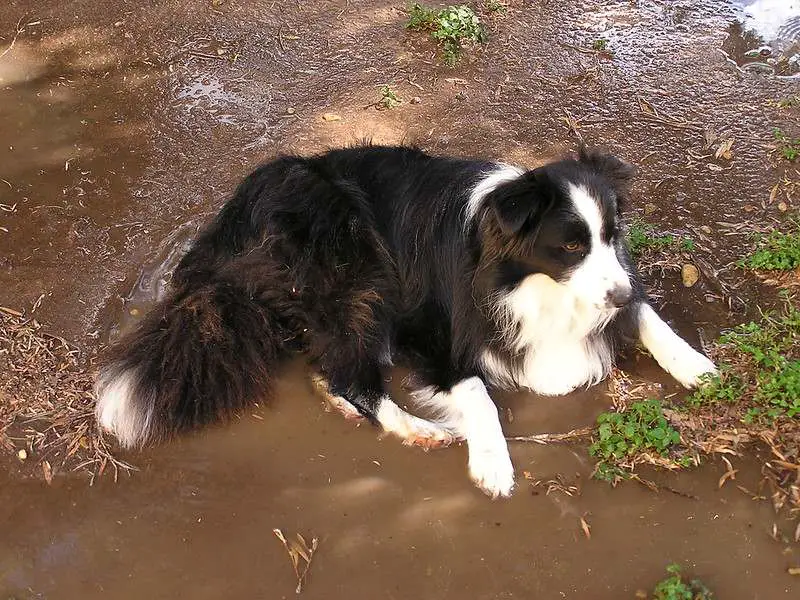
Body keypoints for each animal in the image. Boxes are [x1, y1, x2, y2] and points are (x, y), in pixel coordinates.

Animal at [95, 144, 720, 496]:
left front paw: (696, 365)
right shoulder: (432, 331)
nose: (620, 293)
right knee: (350, 371)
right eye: (570, 245)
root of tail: (228, 227)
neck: (523, 279)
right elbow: (478, 391)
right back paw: (417, 429)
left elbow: (651, 317)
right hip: (357, 269)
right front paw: (493, 465)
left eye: (612, 236)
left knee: (329, 368)